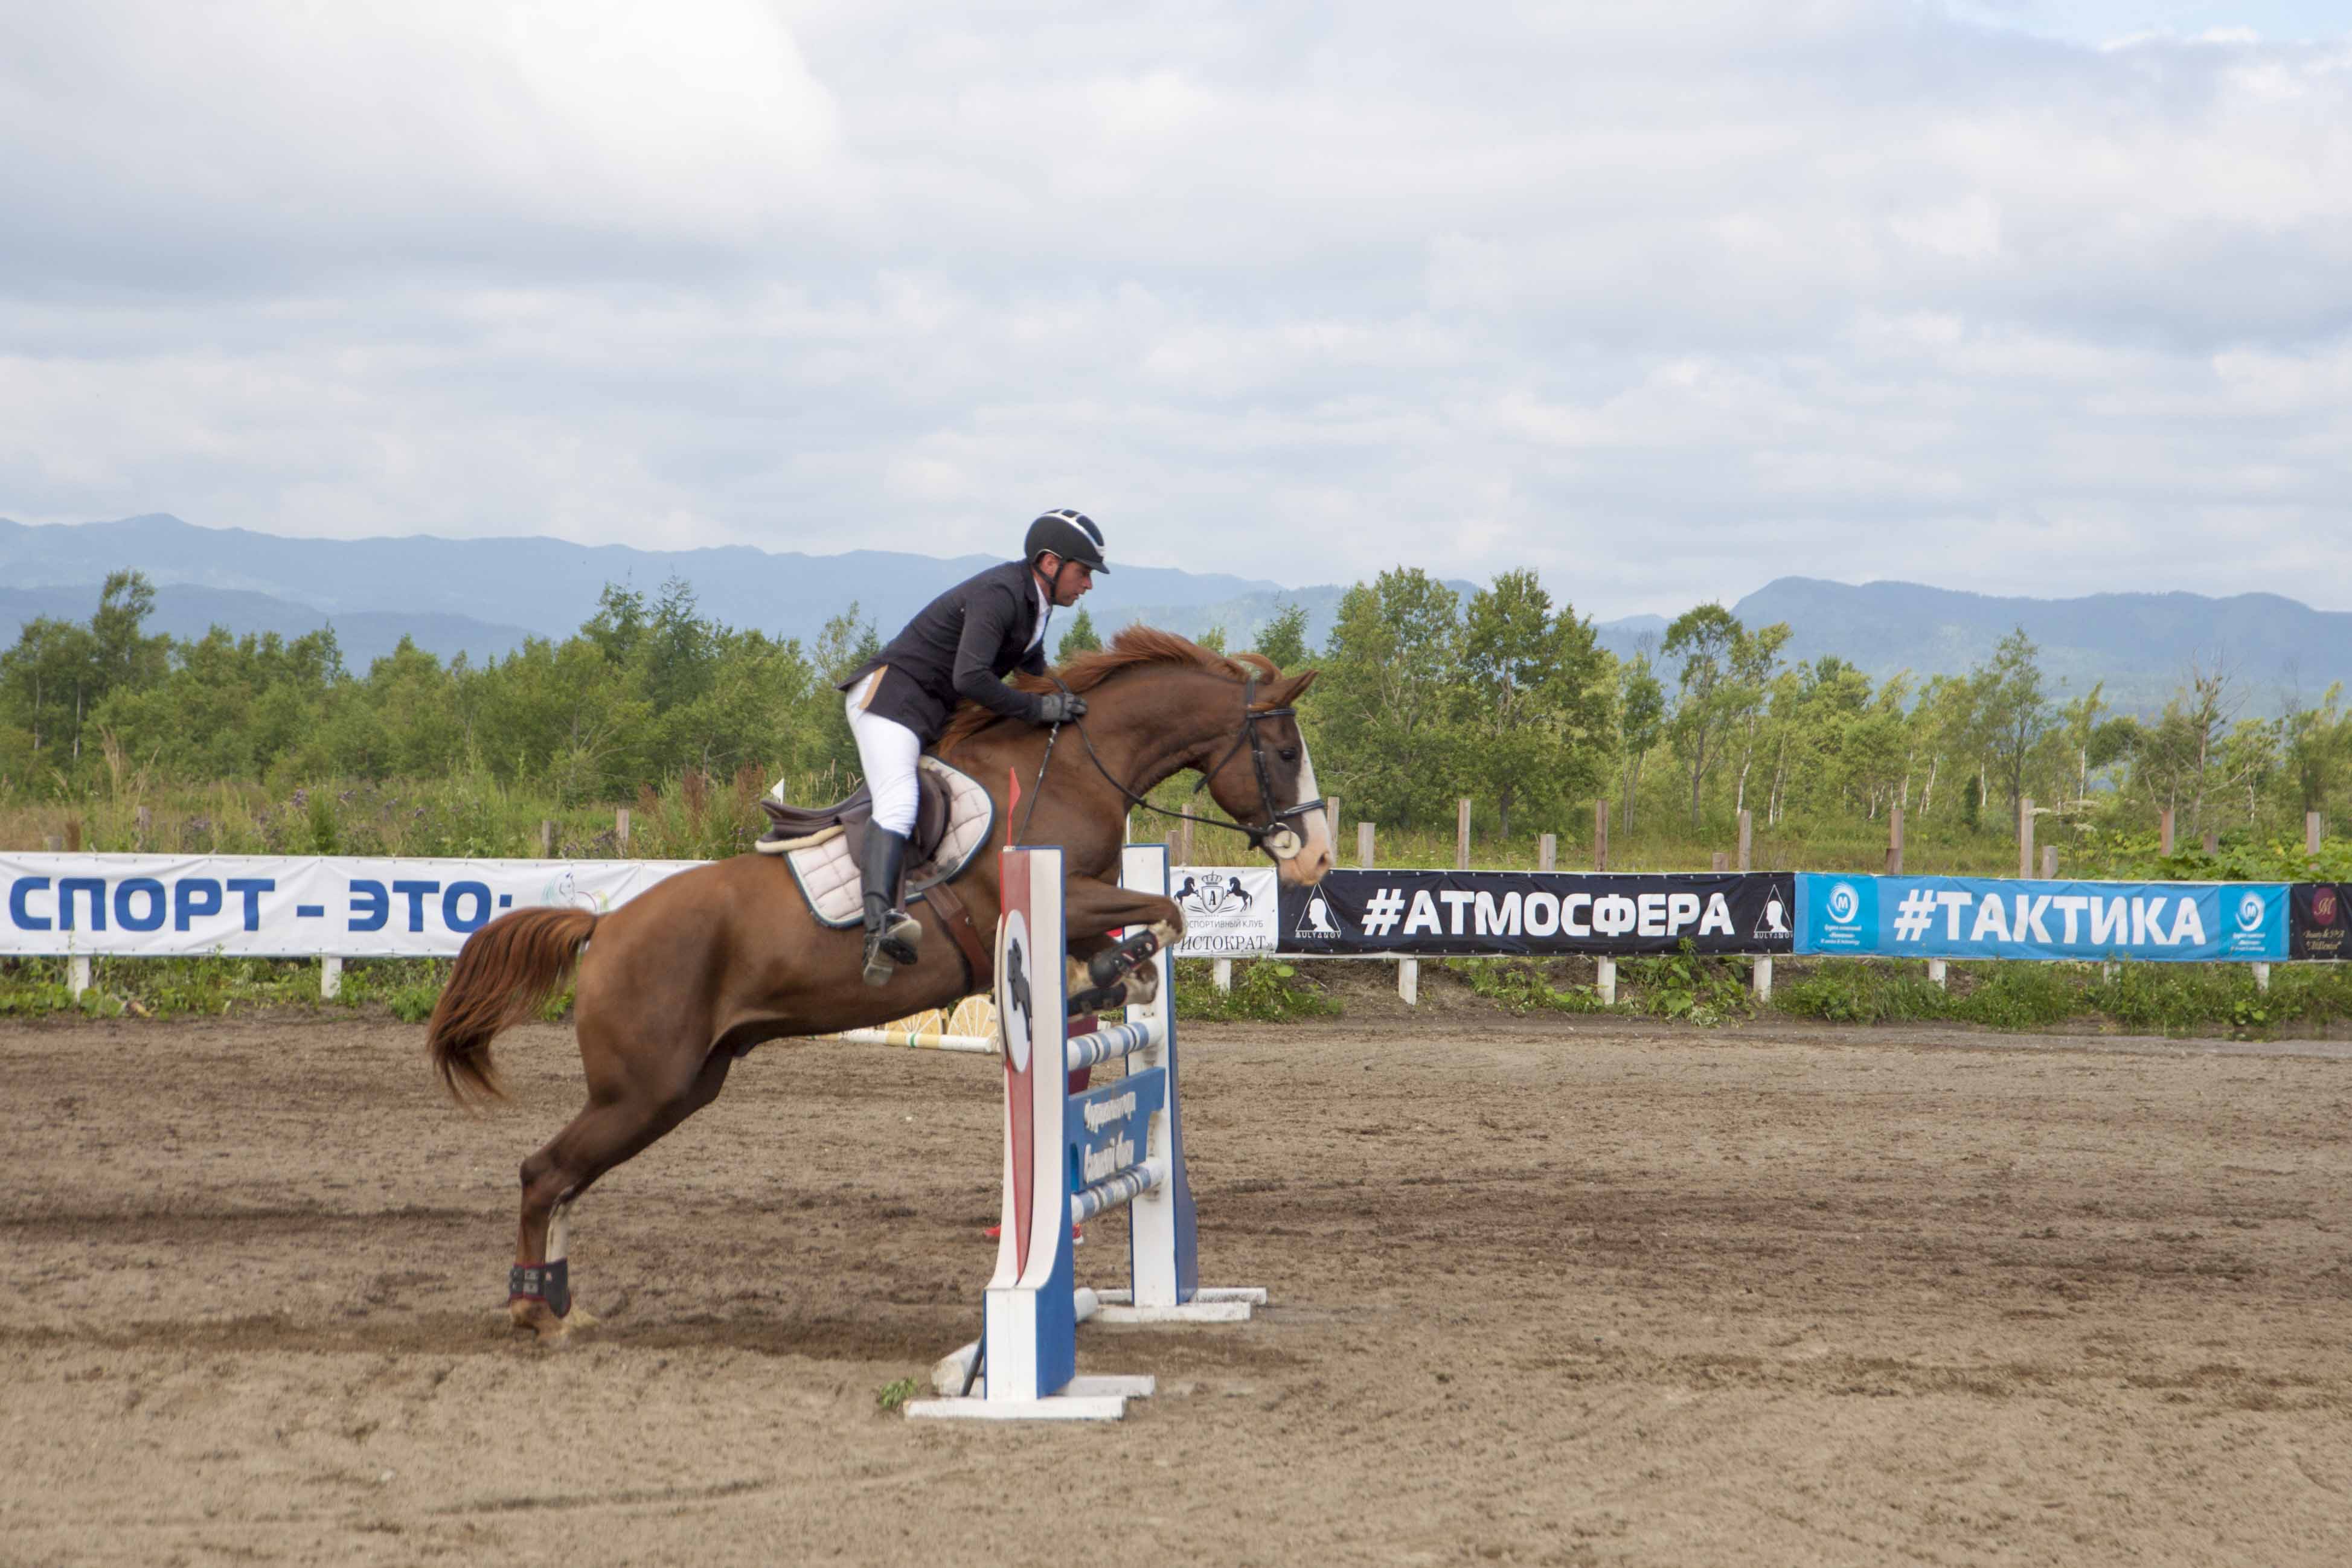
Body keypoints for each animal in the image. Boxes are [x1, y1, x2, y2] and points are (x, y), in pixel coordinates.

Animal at [423, 630, 1336, 1345]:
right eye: (1286, 753)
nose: (1317, 859)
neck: (1074, 767)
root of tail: (604, 926)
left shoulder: (1079, 908)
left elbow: (1146, 933)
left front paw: (1115, 975)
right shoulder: (1055, 895)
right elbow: (1165, 912)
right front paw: (1113, 969)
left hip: (679, 1087)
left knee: (565, 1179)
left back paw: (558, 1302)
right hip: (643, 1088)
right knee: (543, 1172)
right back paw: (532, 1309)